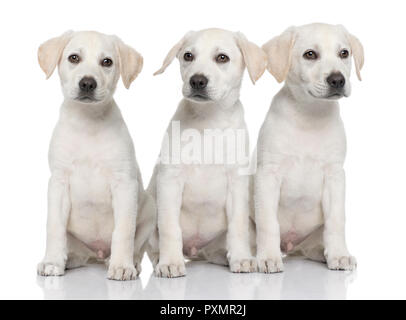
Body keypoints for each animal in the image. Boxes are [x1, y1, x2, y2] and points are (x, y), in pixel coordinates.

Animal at [36, 30, 155, 280]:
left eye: (106, 62)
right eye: (74, 58)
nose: (88, 83)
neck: (88, 122)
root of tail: (97, 254)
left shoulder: (124, 185)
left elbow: (123, 230)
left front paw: (121, 266)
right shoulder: (59, 183)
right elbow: (54, 227)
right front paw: (52, 262)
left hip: (150, 209)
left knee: (137, 245)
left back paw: (130, 262)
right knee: (78, 252)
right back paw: (68, 259)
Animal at [147, 28, 268, 278]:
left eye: (222, 58)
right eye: (188, 56)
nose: (197, 80)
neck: (208, 121)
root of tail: (195, 250)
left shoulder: (237, 184)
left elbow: (238, 226)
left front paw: (241, 258)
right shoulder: (169, 181)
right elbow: (170, 227)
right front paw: (171, 262)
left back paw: (225, 257)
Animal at [254, 23, 364, 272]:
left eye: (344, 53)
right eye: (310, 54)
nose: (337, 80)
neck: (309, 116)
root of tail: (292, 246)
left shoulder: (334, 176)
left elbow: (336, 220)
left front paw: (339, 254)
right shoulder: (268, 175)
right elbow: (268, 221)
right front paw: (268, 257)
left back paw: (325, 253)